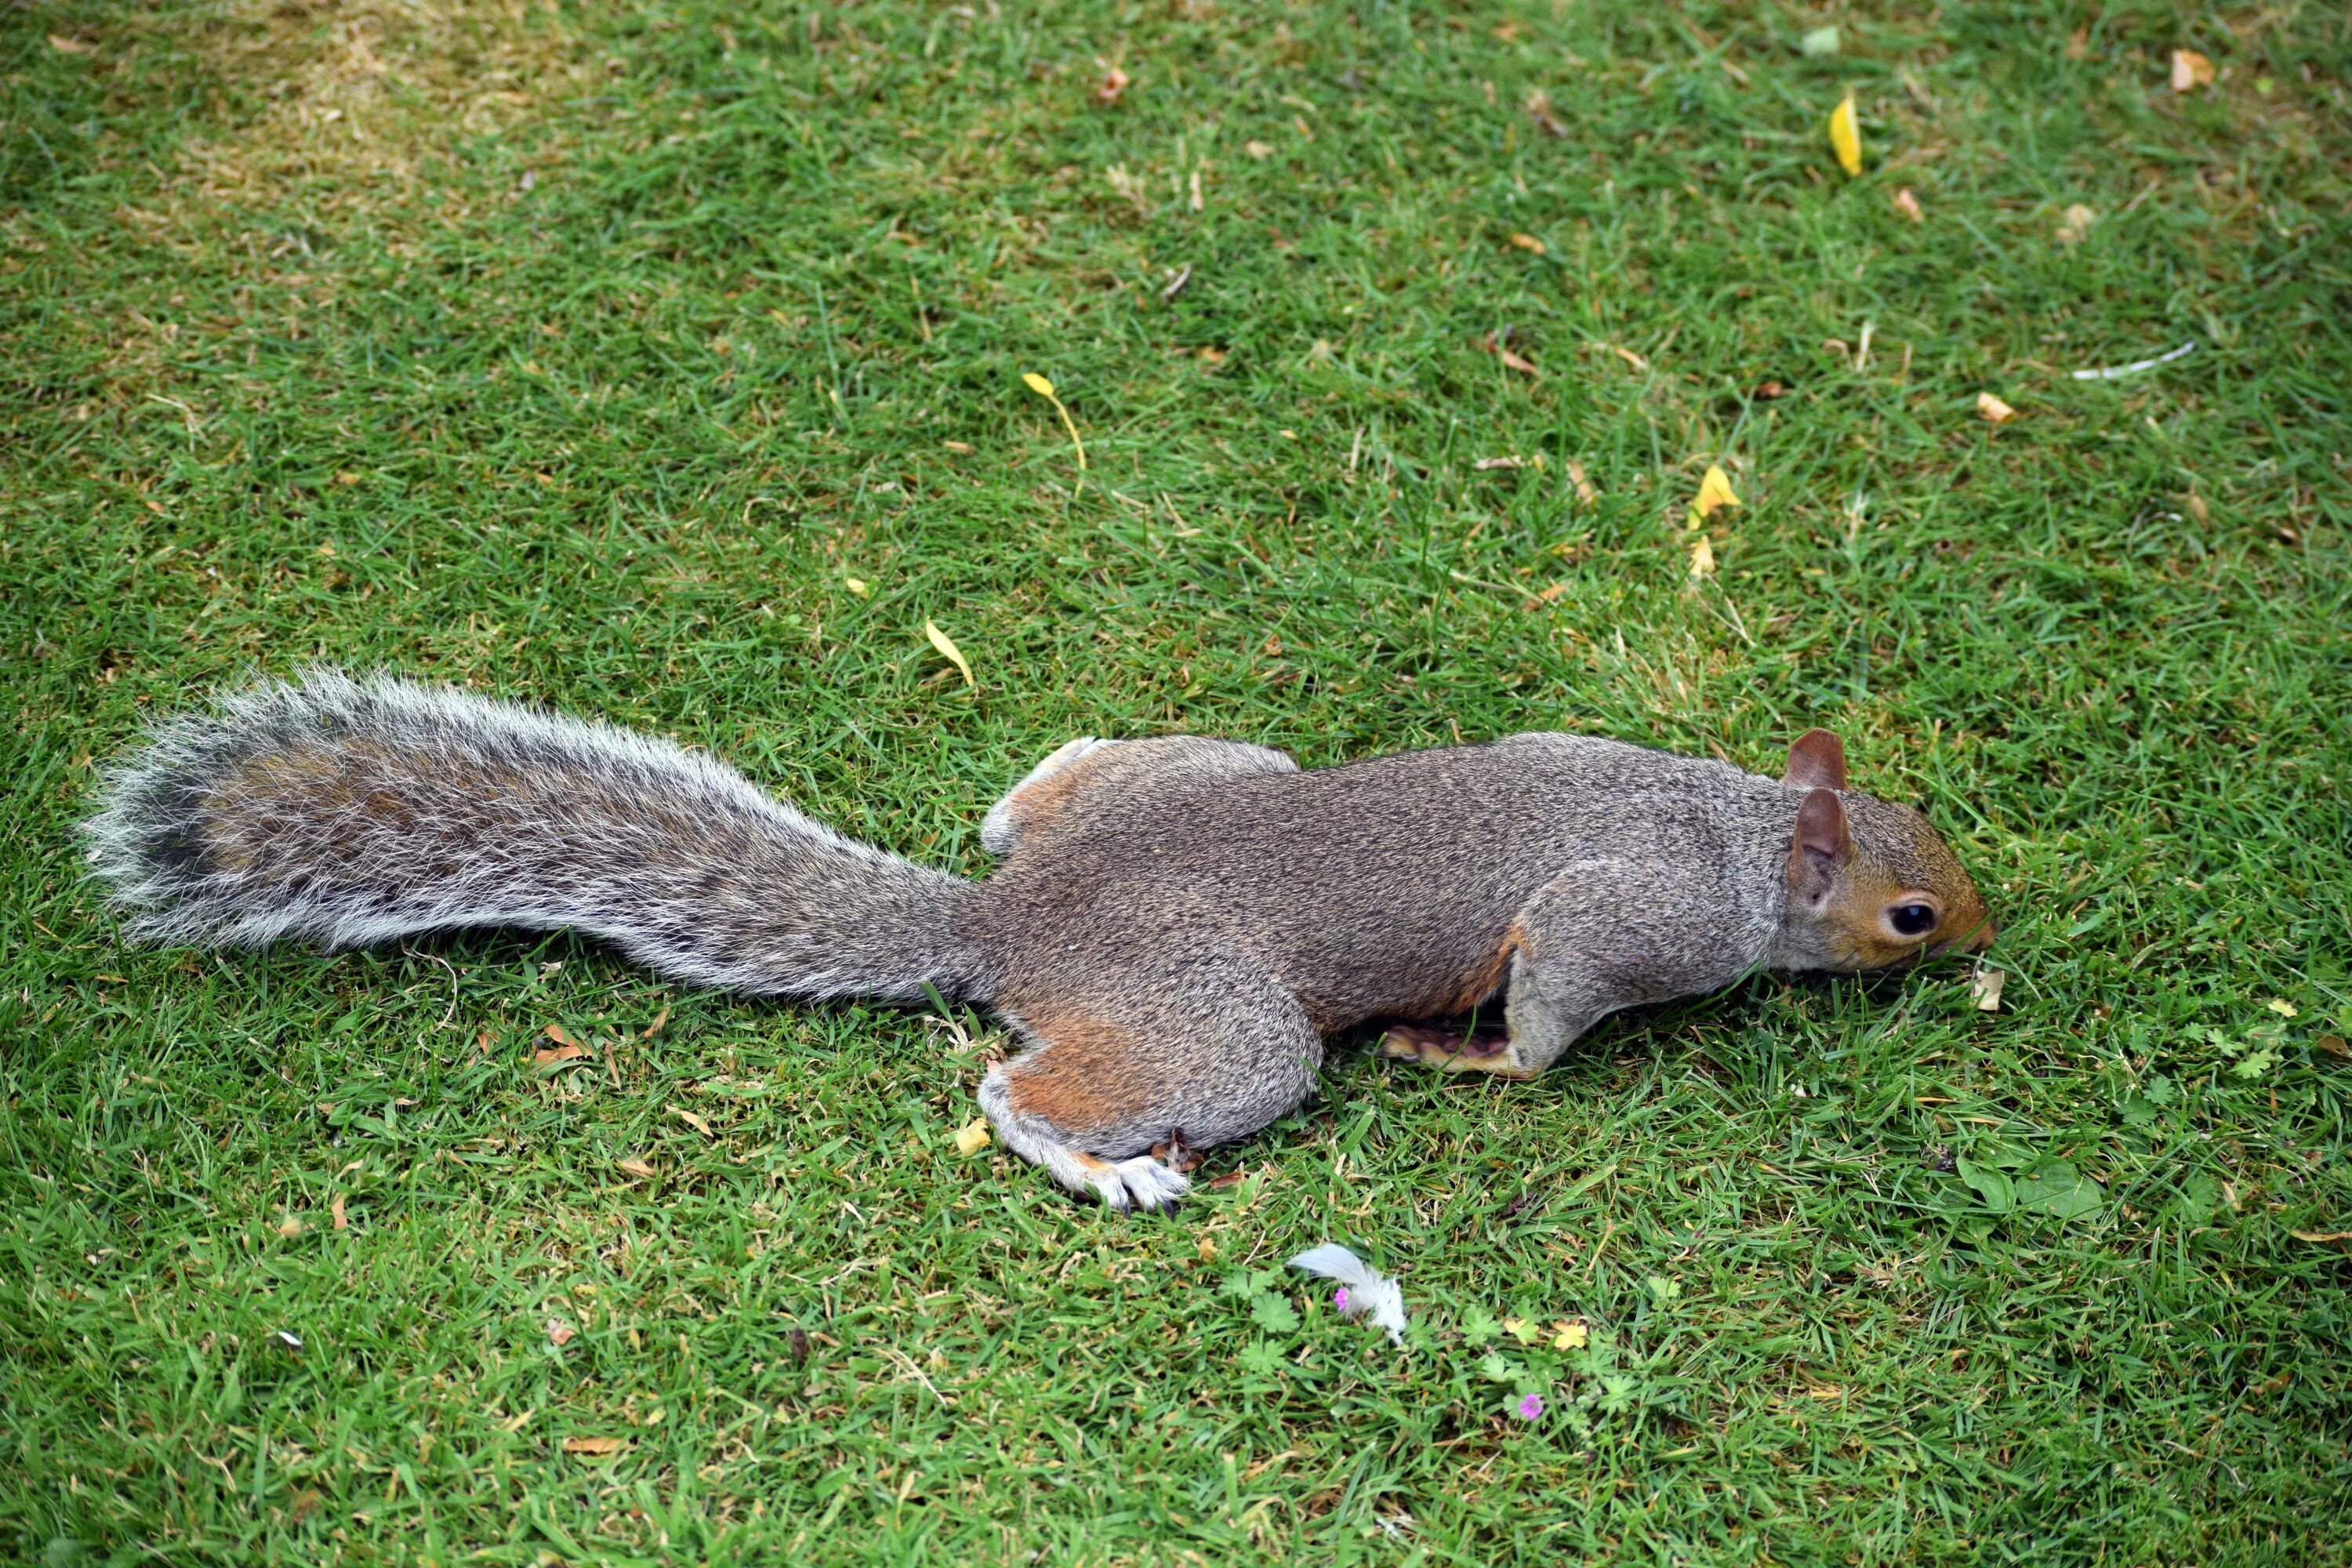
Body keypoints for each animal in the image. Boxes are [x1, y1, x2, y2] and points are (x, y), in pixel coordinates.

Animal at [82, 672, 1994, 1213]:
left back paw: (1033, 795)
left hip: (1176, 786)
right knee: (1020, 1089)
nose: (1984, 934)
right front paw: (1474, 1058)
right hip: (1225, 1034)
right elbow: (1551, 1006)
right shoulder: (1628, 920)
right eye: (1909, 909)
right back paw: (1109, 1166)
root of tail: (1010, 919)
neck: (1737, 836)